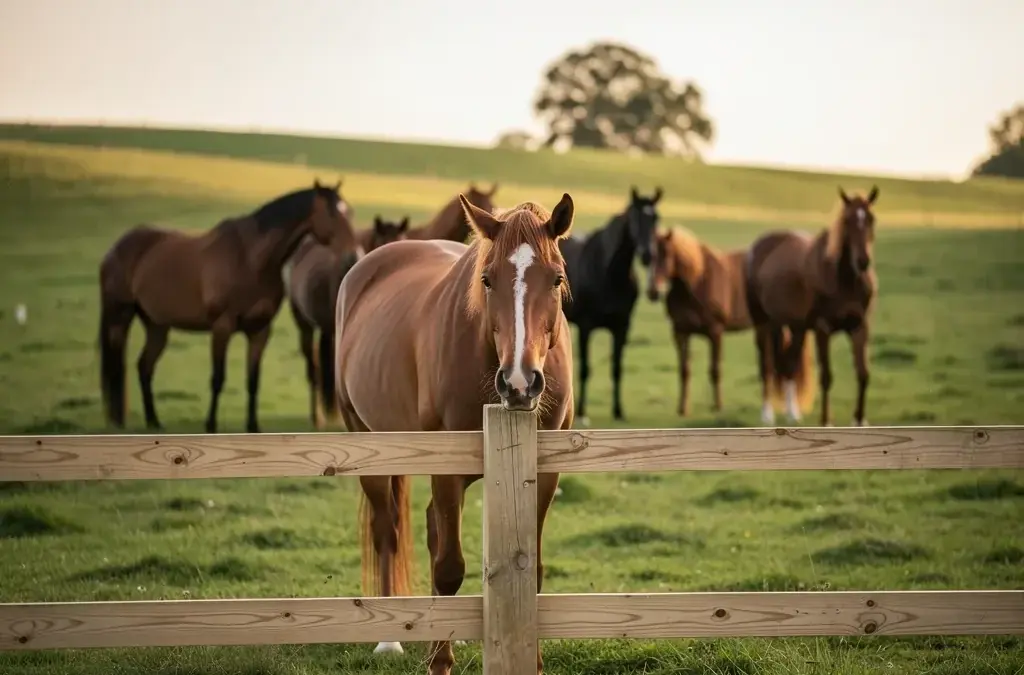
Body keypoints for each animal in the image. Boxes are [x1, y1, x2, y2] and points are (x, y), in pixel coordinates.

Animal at [98, 180, 357, 434]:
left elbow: (253, 380)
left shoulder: (260, 330)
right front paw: (210, 425)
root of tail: (117, 247)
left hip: (156, 326)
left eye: (349, 213)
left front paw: (253, 426)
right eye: (331, 214)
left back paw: (153, 421)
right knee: (118, 366)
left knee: (144, 367)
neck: (251, 259)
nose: (352, 257)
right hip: (120, 317)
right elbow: (218, 378)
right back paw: (120, 421)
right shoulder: (222, 327)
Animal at [334, 194, 576, 675]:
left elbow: (534, 571)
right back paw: (390, 640)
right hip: (370, 446)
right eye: (487, 279)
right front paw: (439, 662)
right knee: (387, 530)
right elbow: (448, 567)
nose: (520, 383)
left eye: (556, 278)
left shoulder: (546, 474)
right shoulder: (445, 470)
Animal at [558, 186, 662, 423]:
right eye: (635, 217)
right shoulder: (586, 327)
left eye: (656, 218)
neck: (610, 273)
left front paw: (618, 411)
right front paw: (582, 413)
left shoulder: (621, 328)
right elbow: (585, 369)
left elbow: (617, 368)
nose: (647, 255)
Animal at [646, 224, 766, 416]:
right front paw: (683, 409)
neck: (697, 282)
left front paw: (718, 406)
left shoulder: (715, 332)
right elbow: (684, 370)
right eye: (649, 256)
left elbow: (715, 370)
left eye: (667, 254)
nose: (652, 292)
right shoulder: (681, 333)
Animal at [745, 186, 879, 426]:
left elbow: (863, 374)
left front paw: (859, 420)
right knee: (767, 365)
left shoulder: (860, 327)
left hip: (795, 327)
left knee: (788, 364)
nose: (863, 261)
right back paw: (767, 414)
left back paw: (792, 413)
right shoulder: (822, 329)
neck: (844, 280)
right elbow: (826, 377)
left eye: (871, 219)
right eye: (847, 220)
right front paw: (826, 421)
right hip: (764, 324)